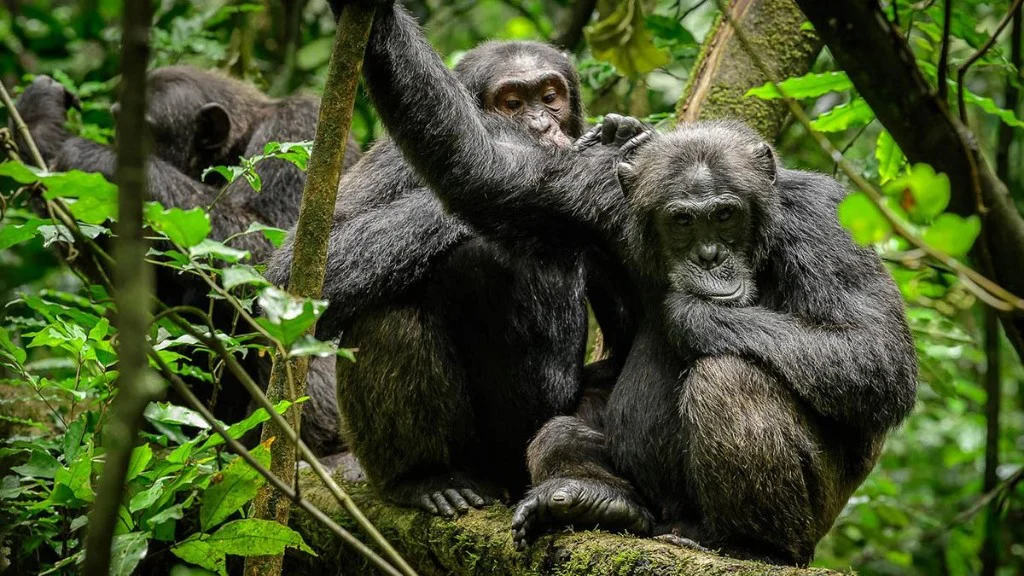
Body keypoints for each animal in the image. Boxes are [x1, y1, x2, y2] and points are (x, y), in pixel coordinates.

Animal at [340, 1, 917, 563]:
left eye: (726, 215)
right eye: (682, 221)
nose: (710, 257)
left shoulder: (826, 223)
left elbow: (873, 354)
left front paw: (693, 313)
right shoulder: (599, 197)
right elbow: (484, 169)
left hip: (811, 520)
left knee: (730, 377)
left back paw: (752, 544)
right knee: (556, 431)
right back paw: (583, 498)